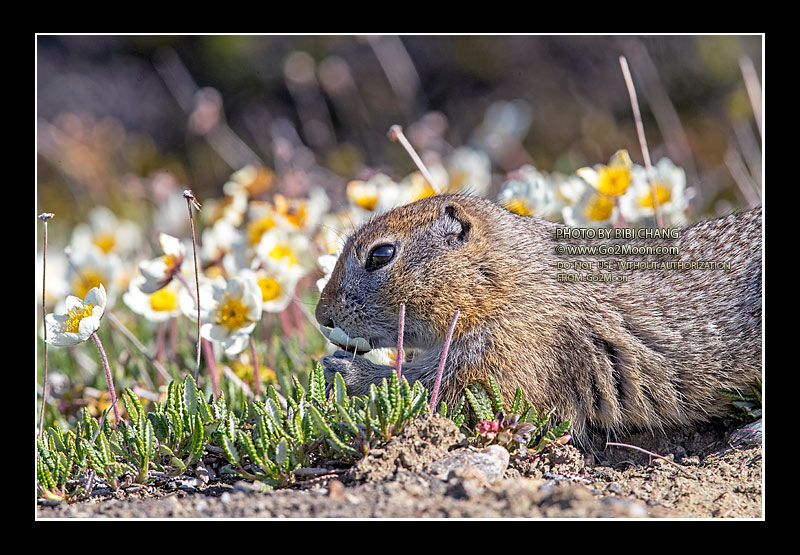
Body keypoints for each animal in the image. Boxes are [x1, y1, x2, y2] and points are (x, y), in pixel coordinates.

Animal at [316, 193, 764, 446]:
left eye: (381, 255)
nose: (321, 315)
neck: (512, 280)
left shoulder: (507, 359)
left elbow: (437, 392)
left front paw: (343, 371)